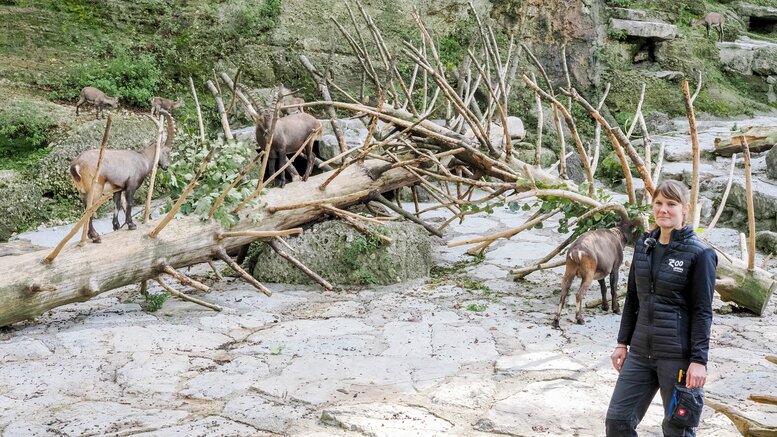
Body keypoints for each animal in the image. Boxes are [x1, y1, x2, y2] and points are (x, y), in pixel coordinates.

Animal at [69, 108, 175, 238]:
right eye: (166, 152)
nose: (166, 166)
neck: (143, 159)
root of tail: (76, 164)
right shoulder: (131, 186)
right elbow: (129, 204)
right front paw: (131, 225)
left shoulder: (117, 189)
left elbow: (117, 205)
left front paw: (116, 226)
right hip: (95, 189)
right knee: (90, 209)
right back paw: (94, 236)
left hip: (82, 191)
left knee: (85, 209)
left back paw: (90, 235)